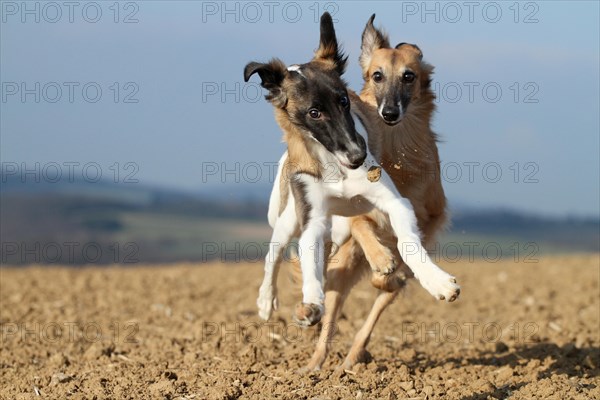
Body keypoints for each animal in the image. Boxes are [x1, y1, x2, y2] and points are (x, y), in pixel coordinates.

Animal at [244, 12, 460, 332]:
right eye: (314, 113)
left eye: (344, 100)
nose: (359, 157)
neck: (337, 166)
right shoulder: (312, 219)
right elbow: (310, 264)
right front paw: (312, 302)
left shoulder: (395, 202)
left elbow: (408, 243)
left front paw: (438, 282)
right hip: (290, 219)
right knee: (274, 254)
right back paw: (266, 300)